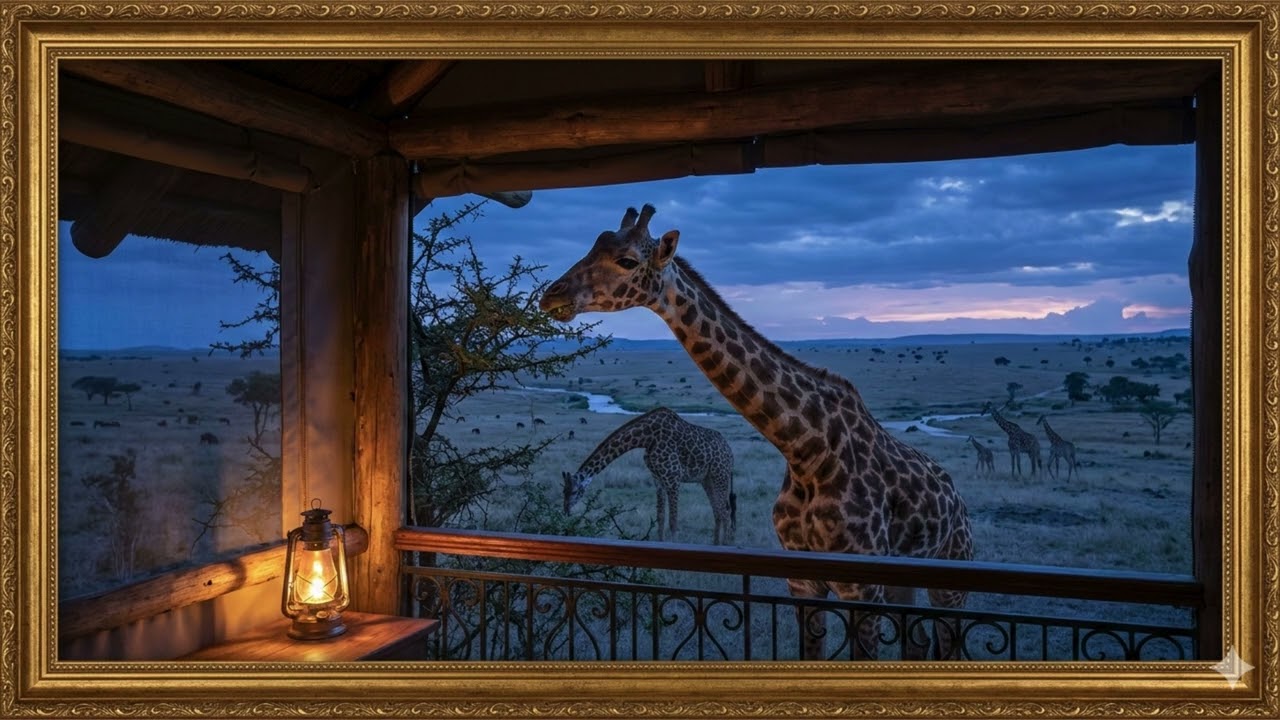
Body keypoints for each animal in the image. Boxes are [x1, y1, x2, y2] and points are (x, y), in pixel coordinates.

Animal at [562, 407, 736, 545]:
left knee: (726, 512)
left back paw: (725, 545)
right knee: (718, 511)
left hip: (720, 475)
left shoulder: (673, 479)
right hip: (707, 480)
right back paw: (715, 545)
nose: (566, 511)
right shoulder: (658, 480)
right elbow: (660, 517)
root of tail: (729, 451)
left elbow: (673, 521)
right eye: (563, 491)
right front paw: (660, 543)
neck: (647, 438)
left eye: (574, 491)